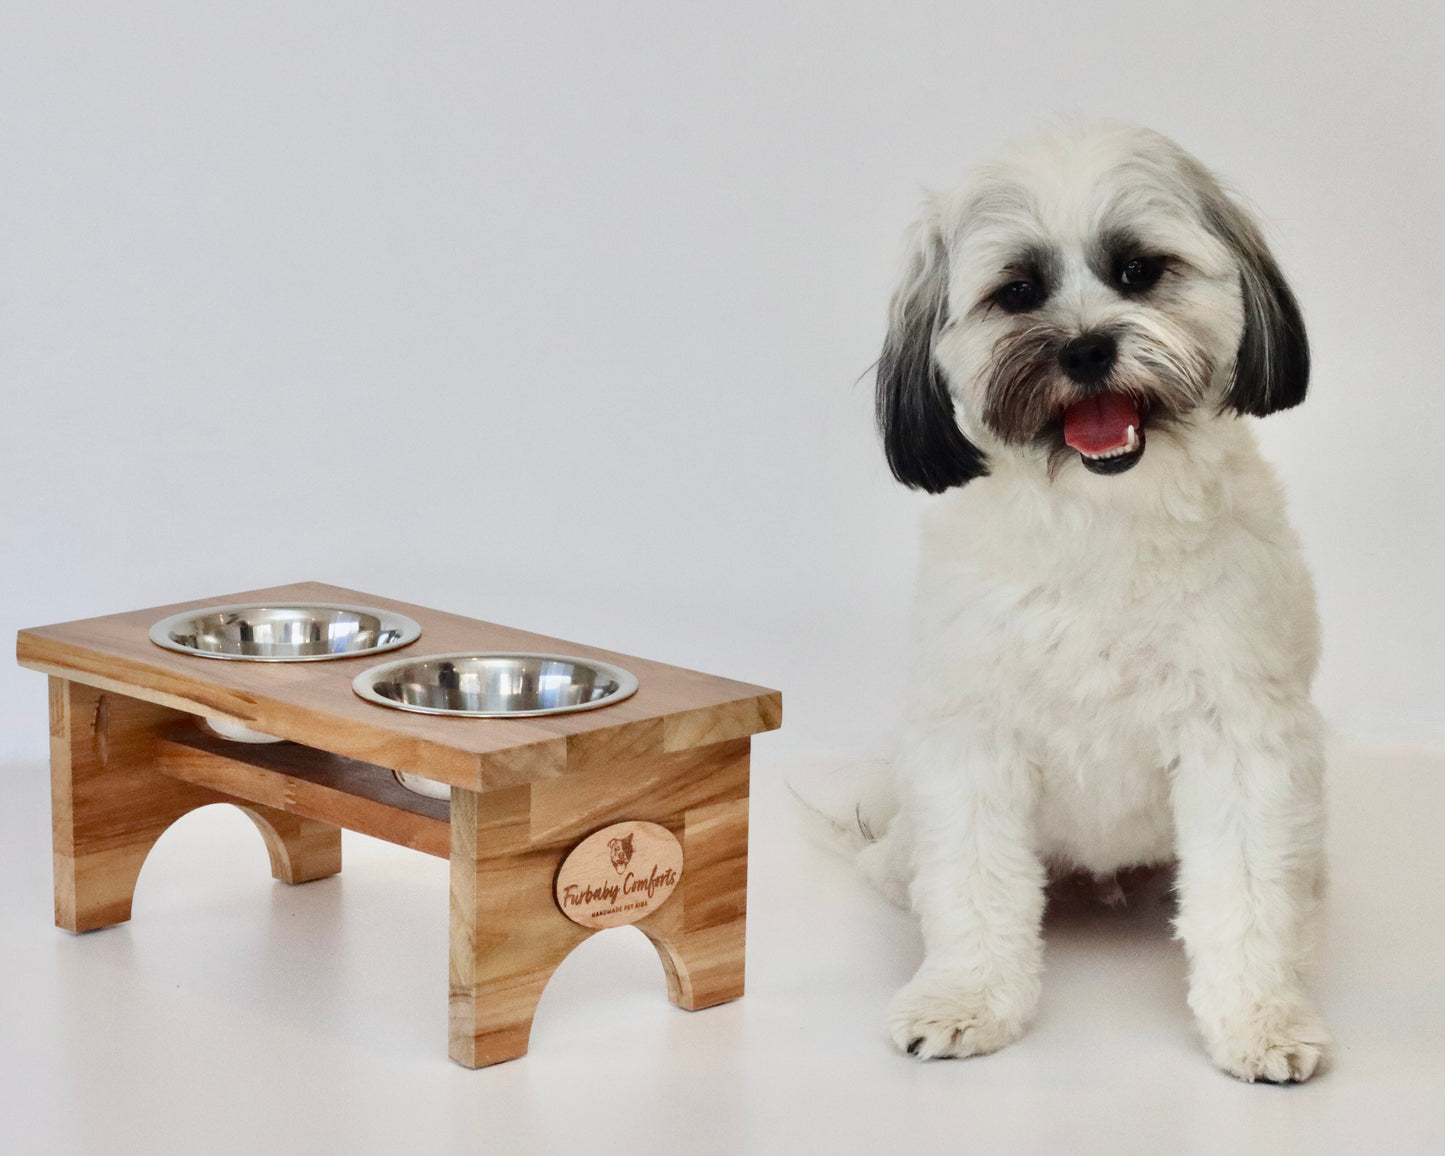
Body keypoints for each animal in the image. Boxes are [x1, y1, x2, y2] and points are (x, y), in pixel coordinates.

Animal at [861, 126, 1323, 1086]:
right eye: (1016, 292)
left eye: (1137, 270)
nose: (1083, 350)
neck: (1102, 519)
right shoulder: (971, 741)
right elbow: (971, 887)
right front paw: (963, 1000)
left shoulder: (1241, 739)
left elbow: (1247, 897)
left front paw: (1258, 1019)